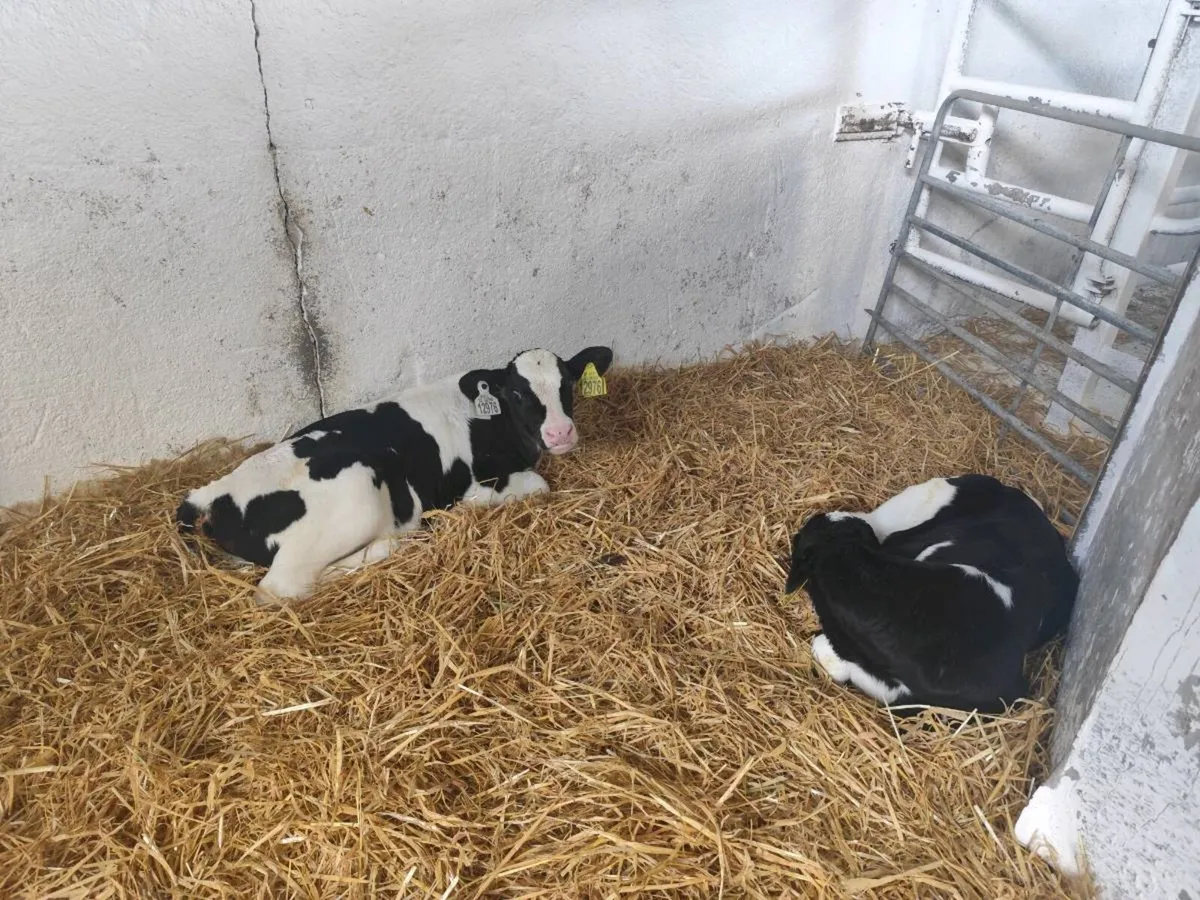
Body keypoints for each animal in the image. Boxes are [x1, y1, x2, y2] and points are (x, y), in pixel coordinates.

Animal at [177, 346, 613, 605]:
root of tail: (212, 491)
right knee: (282, 587)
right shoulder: (473, 485)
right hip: (356, 502)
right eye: (518, 393)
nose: (560, 433)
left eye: (567, 383)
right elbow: (538, 486)